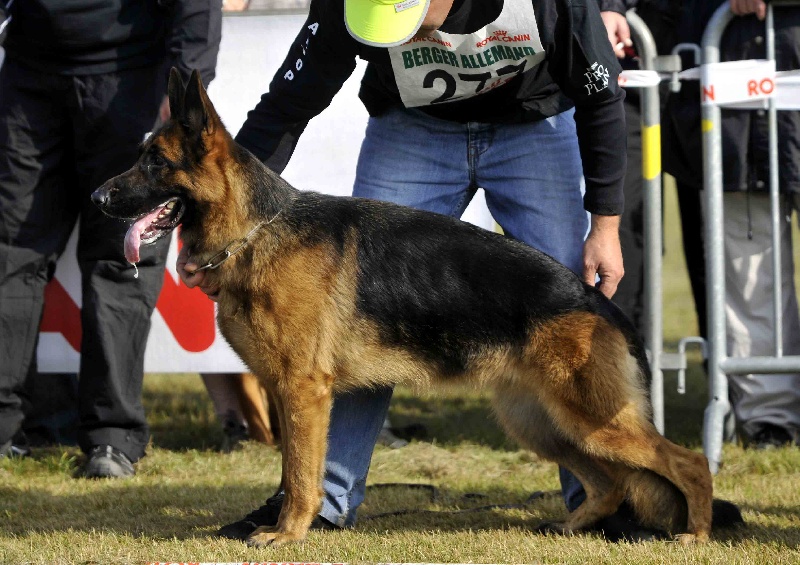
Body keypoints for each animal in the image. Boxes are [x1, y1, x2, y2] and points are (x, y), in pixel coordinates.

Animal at [94, 69, 720, 548]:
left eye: (154, 162)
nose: (96, 198)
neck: (255, 230)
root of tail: (597, 301)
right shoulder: (288, 393)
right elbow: (294, 469)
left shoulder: (303, 392)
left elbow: (301, 476)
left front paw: (287, 535)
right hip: (543, 422)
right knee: (609, 482)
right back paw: (570, 528)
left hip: (590, 419)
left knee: (688, 463)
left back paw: (695, 535)